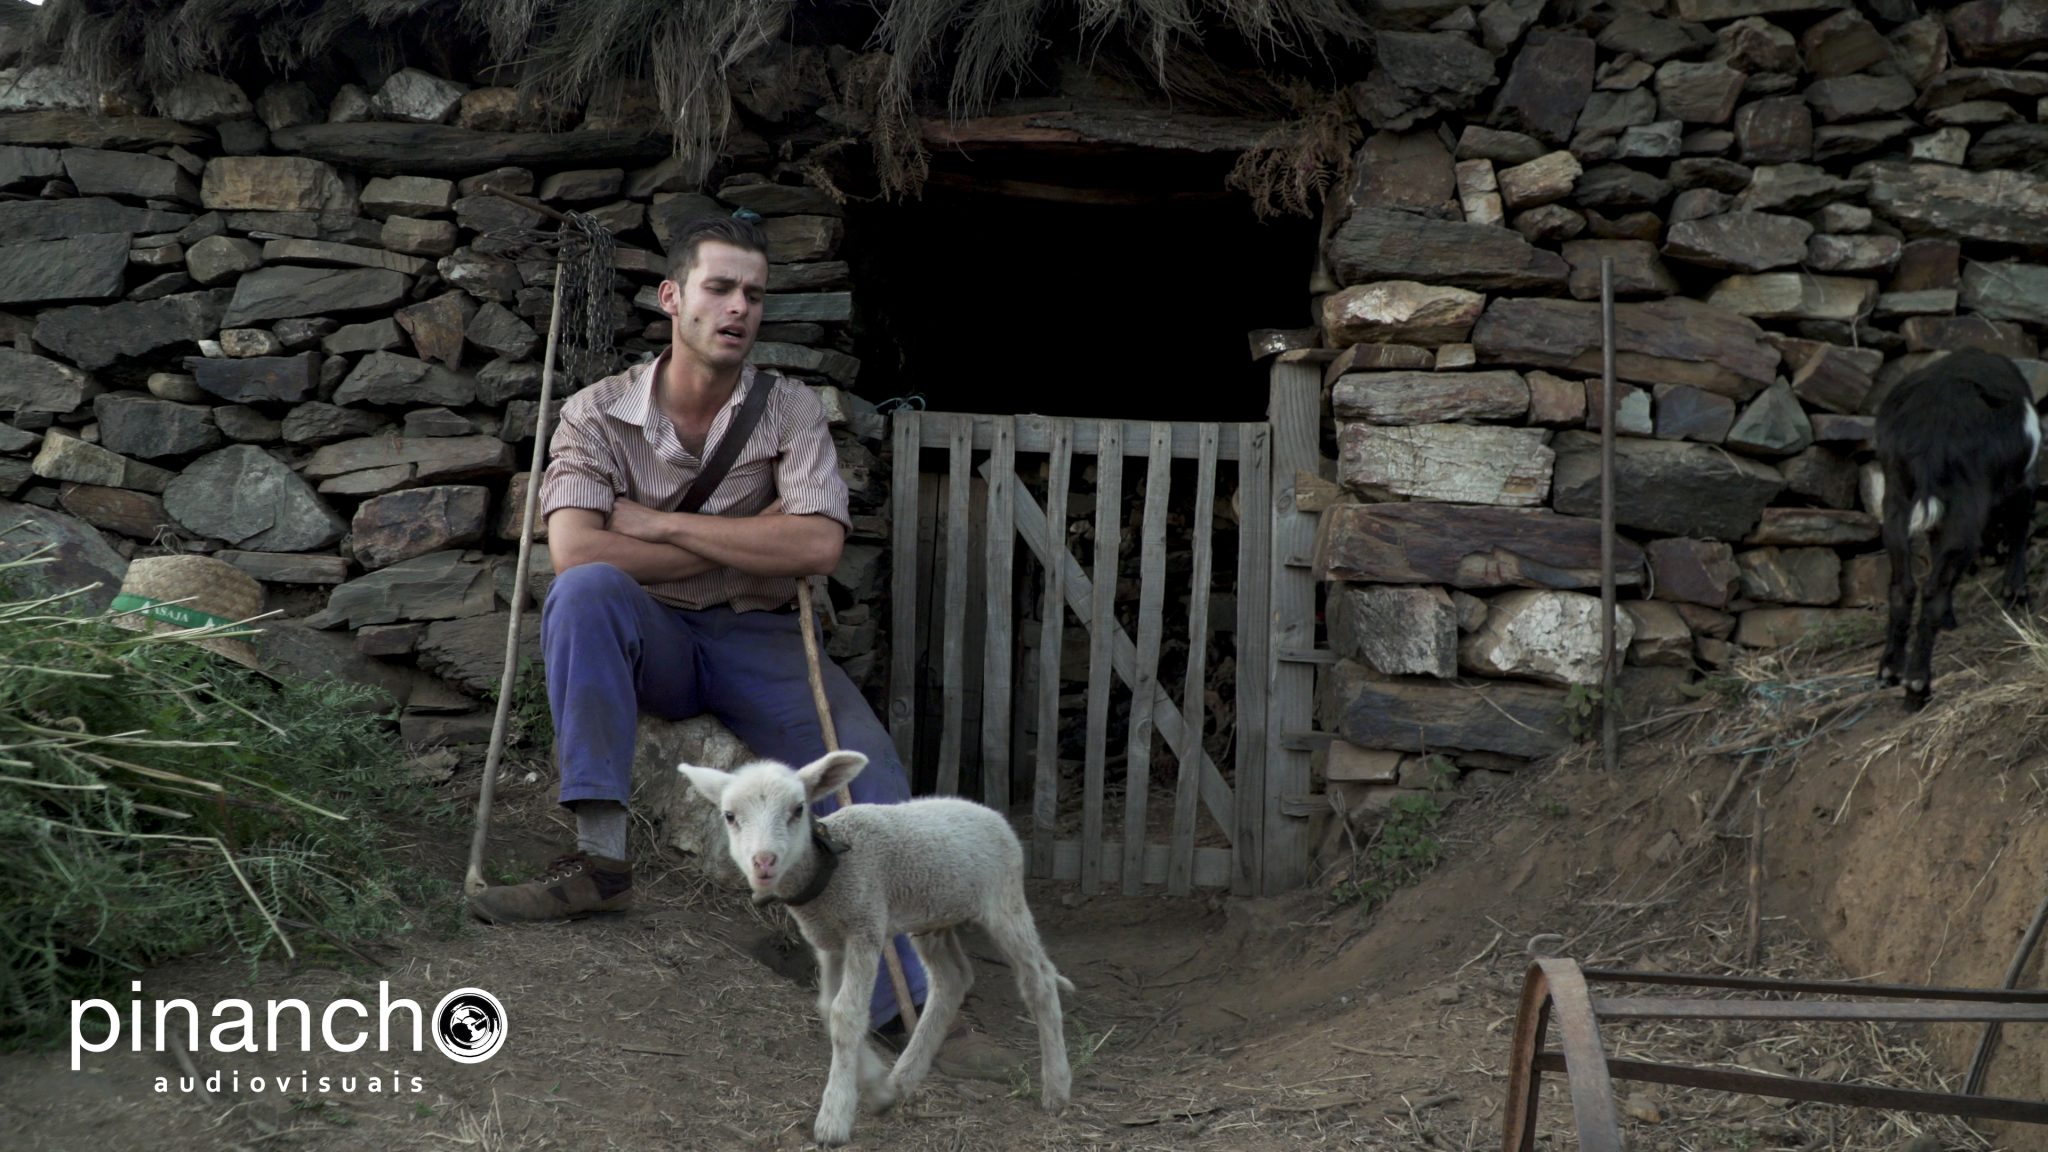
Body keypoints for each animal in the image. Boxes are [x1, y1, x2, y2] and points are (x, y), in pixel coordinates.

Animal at [679, 746, 1081, 1139]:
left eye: (798, 809)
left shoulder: (865, 926)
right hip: (933, 918)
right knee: (952, 980)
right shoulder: (829, 943)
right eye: (730, 816)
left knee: (1039, 979)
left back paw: (1057, 1088)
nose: (764, 862)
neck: (828, 871)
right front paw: (876, 1089)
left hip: (1004, 901)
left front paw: (834, 1117)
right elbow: (827, 1008)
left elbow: (846, 1014)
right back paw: (902, 1079)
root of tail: (992, 814)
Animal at [1875, 348, 2039, 709]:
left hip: (1896, 498)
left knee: (1902, 585)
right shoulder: (2020, 482)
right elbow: (2020, 524)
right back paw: (1917, 684)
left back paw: (1889, 670)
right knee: (1932, 590)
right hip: (1967, 504)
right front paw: (2016, 592)